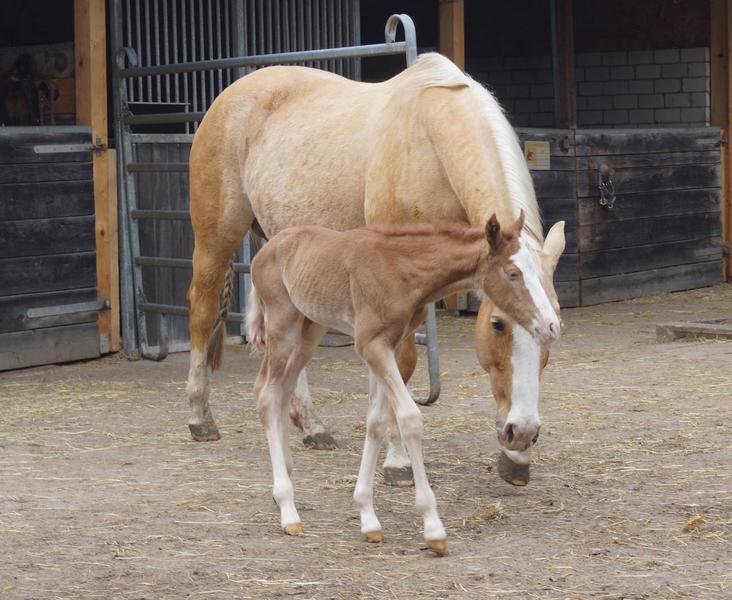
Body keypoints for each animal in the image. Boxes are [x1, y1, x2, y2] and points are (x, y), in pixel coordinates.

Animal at [186, 52, 564, 488]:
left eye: (555, 326)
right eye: (498, 324)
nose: (522, 434)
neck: (429, 143)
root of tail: (230, 96)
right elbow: (403, 364)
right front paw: (398, 462)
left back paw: (311, 425)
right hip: (216, 238)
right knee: (201, 311)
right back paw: (200, 418)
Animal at [246, 214, 562, 554]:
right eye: (513, 273)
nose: (552, 326)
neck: (403, 270)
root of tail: (267, 247)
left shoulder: (391, 345)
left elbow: (376, 421)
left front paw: (368, 517)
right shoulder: (371, 345)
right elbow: (410, 418)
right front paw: (432, 527)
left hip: (312, 327)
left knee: (282, 388)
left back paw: (286, 474)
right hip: (283, 323)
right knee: (269, 394)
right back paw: (287, 508)